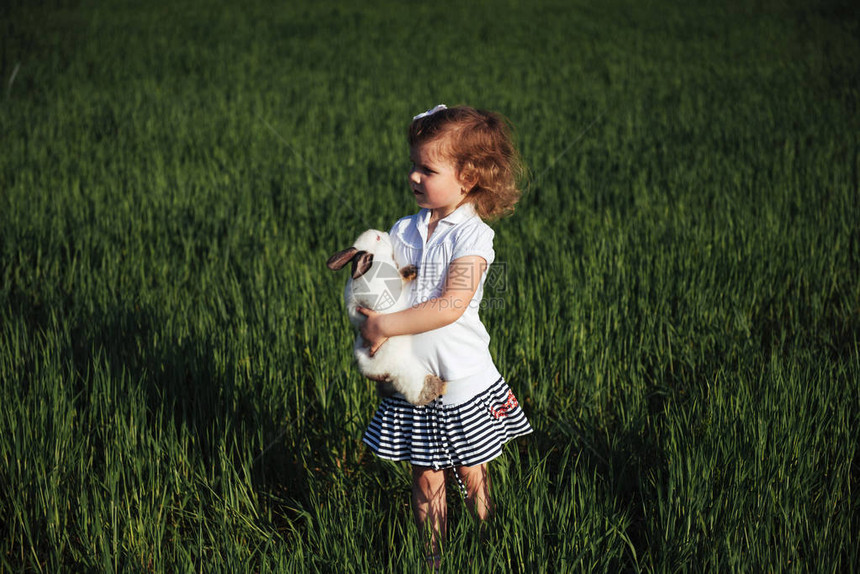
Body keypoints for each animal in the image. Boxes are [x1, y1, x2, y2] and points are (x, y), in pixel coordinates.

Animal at [328, 230, 450, 404]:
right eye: (378, 238)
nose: (385, 233)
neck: (377, 257)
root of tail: (377, 369)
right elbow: (400, 277)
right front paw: (411, 271)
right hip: (410, 373)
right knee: (417, 393)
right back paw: (440, 386)